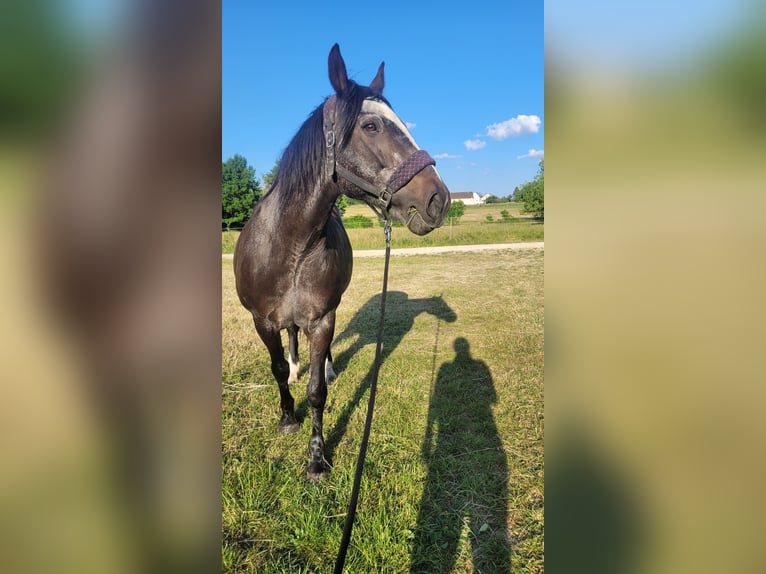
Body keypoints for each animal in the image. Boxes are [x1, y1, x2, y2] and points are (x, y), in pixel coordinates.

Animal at [234, 42, 450, 480]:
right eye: (371, 126)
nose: (439, 200)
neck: (289, 246)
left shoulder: (322, 318)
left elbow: (318, 391)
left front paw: (317, 459)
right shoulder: (261, 321)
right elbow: (277, 369)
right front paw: (288, 417)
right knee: (291, 339)